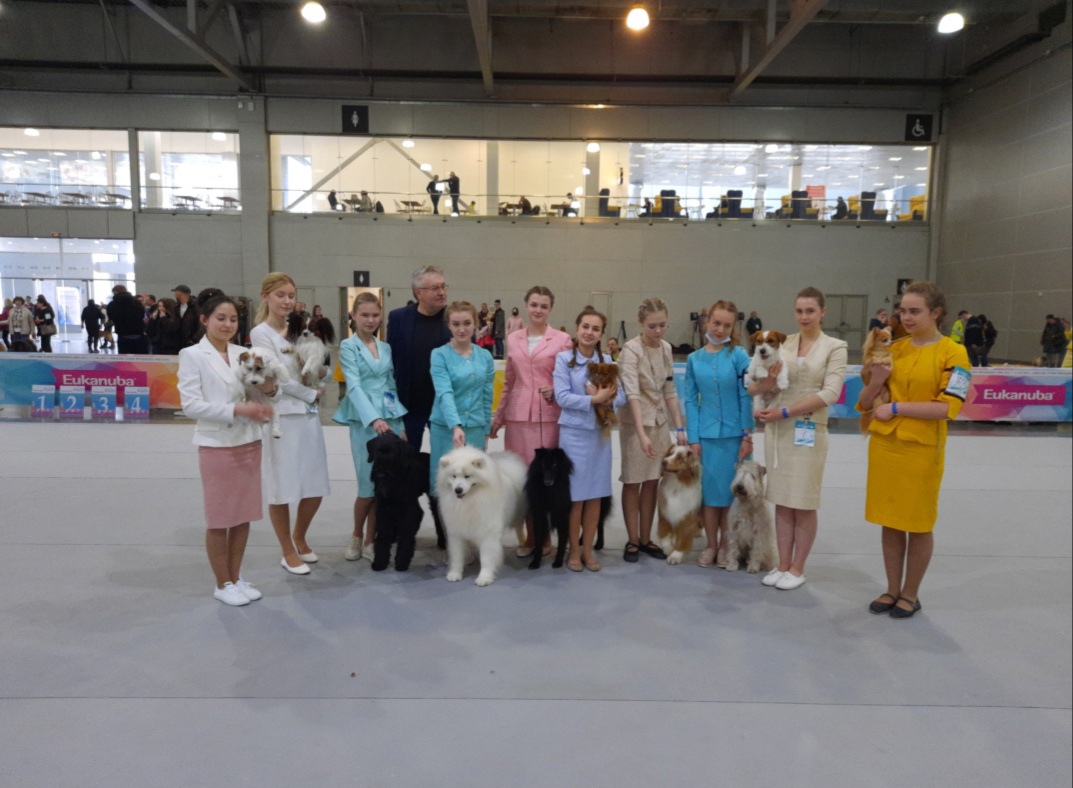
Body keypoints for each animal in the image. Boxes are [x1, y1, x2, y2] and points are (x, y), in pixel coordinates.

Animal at [366, 433, 424, 572]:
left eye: (392, 453)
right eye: (377, 452)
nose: (380, 475)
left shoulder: (408, 510)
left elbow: (406, 534)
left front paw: (402, 561)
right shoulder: (383, 509)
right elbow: (383, 534)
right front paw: (380, 561)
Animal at [437, 446, 528, 586]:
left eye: (467, 476)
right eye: (454, 476)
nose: (458, 490)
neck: (469, 501)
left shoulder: (487, 533)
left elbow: (486, 558)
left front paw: (484, 578)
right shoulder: (455, 533)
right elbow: (457, 556)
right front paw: (455, 574)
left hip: (518, 515)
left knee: (519, 529)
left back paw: (523, 545)